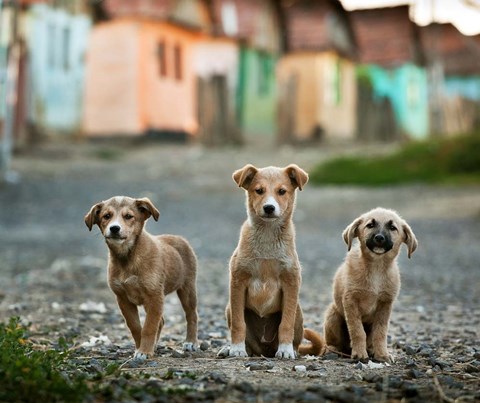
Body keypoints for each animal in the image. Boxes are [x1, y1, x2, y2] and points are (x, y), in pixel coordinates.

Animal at [85, 196, 198, 360]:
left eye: (128, 216)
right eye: (106, 216)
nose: (114, 228)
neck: (127, 258)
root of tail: (179, 238)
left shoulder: (154, 296)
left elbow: (149, 327)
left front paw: (144, 351)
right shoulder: (123, 299)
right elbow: (136, 327)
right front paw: (141, 348)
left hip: (187, 289)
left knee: (191, 315)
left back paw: (191, 342)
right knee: (161, 321)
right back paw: (155, 345)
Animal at [221, 164, 322, 360]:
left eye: (282, 191)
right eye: (259, 190)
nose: (269, 208)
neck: (267, 236)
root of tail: (264, 349)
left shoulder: (291, 282)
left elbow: (286, 324)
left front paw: (285, 349)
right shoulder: (238, 281)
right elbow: (238, 323)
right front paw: (236, 348)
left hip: (298, 311)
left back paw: (291, 350)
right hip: (229, 307)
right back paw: (231, 349)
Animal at [324, 208, 418, 362]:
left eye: (392, 228)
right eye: (370, 225)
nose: (379, 238)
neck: (376, 268)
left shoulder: (385, 304)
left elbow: (380, 332)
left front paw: (382, 354)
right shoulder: (350, 300)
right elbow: (357, 330)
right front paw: (359, 354)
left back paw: (372, 350)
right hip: (333, 315)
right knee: (333, 342)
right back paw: (332, 349)